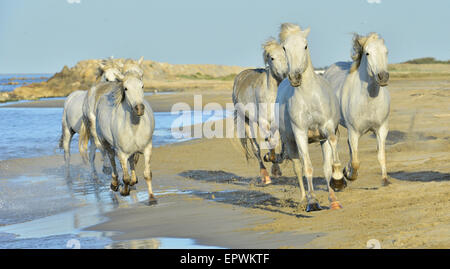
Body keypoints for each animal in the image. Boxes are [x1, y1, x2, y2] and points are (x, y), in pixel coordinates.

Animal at [95, 72, 156, 202]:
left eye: (142, 86)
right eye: (126, 88)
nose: (139, 108)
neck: (134, 128)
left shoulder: (147, 149)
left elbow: (147, 174)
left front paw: (152, 198)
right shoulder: (121, 153)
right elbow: (125, 178)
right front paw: (124, 191)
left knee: (132, 160)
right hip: (105, 143)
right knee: (112, 160)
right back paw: (114, 184)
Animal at [232, 38, 288, 184]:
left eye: (286, 55)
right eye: (272, 58)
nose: (285, 75)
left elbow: (282, 146)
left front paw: (276, 163)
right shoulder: (263, 122)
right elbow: (271, 142)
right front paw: (270, 158)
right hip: (246, 120)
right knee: (255, 147)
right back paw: (265, 176)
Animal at [274, 23, 344, 210]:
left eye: (305, 46)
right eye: (284, 48)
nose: (295, 77)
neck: (309, 97)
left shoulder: (327, 128)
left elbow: (331, 157)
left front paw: (338, 181)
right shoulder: (300, 133)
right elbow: (308, 167)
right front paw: (313, 202)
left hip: (321, 140)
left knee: (325, 166)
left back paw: (333, 199)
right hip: (290, 142)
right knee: (298, 167)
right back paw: (304, 199)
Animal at [324, 33, 390, 186]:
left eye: (386, 52)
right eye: (367, 53)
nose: (383, 77)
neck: (368, 101)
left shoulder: (381, 129)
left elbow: (381, 155)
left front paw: (385, 180)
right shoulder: (353, 132)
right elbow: (355, 161)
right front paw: (350, 175)